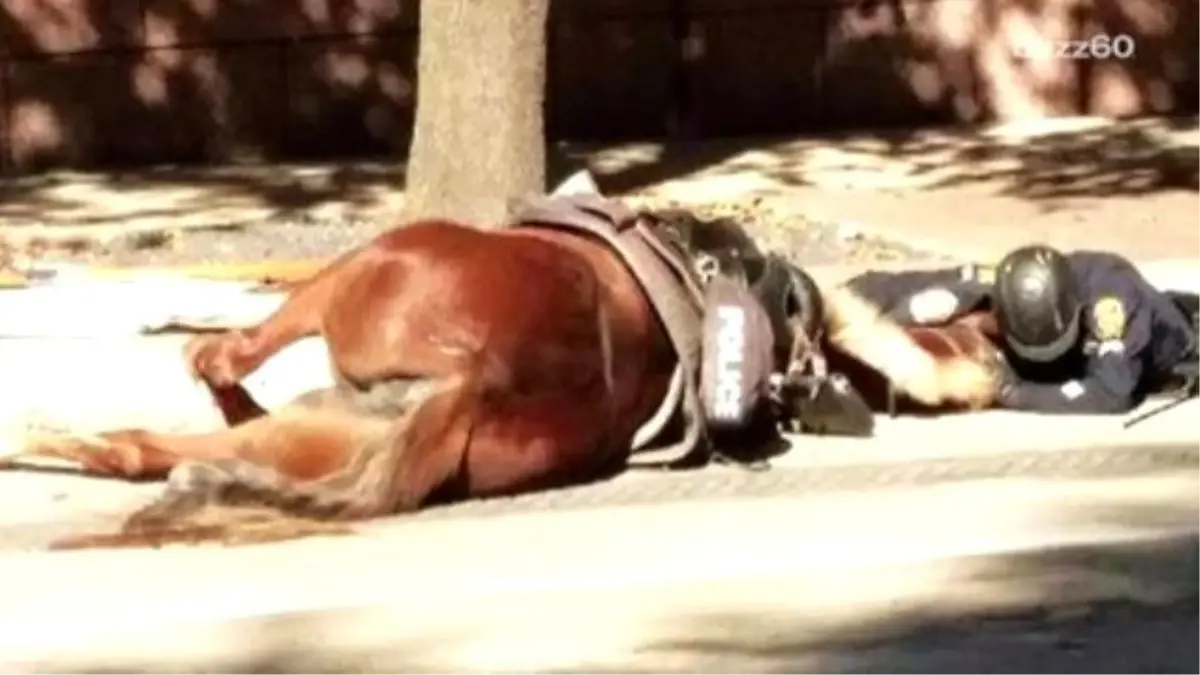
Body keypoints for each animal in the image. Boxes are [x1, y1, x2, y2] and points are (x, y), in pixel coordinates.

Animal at [2, 189, 1003, 547]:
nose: (993, 361)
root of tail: (469, 380)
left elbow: (211, 345)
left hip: (351, 277)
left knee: (200, 375)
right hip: (317, 424)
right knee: (145, 444)